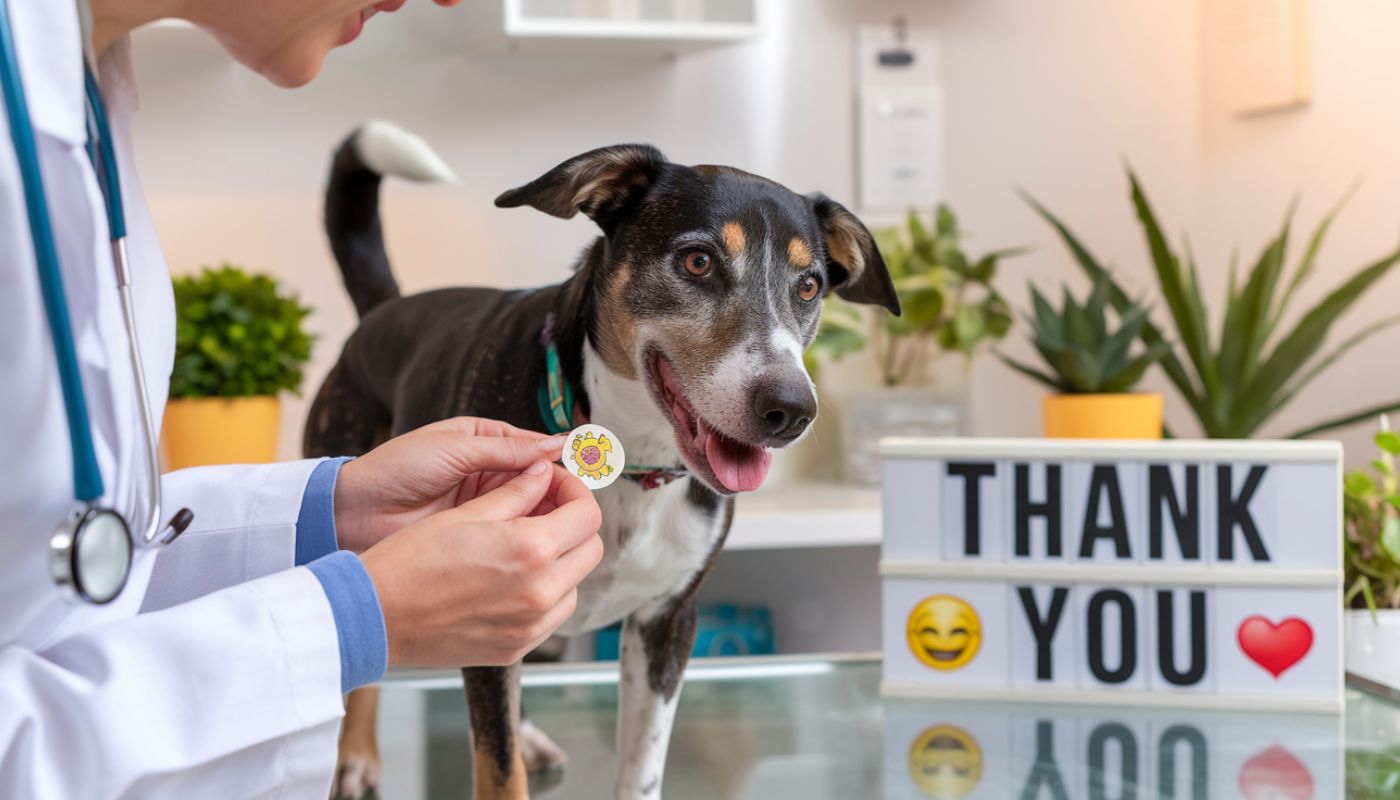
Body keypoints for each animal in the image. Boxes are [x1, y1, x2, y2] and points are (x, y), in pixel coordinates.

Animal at [305, 120, 896, 800]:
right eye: (698, 261)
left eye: (809, 286)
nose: (791, 410)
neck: (638, 466)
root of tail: (384, 310)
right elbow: (498, 770)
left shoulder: (665, 622)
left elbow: (640, 766)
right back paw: (355, 756)